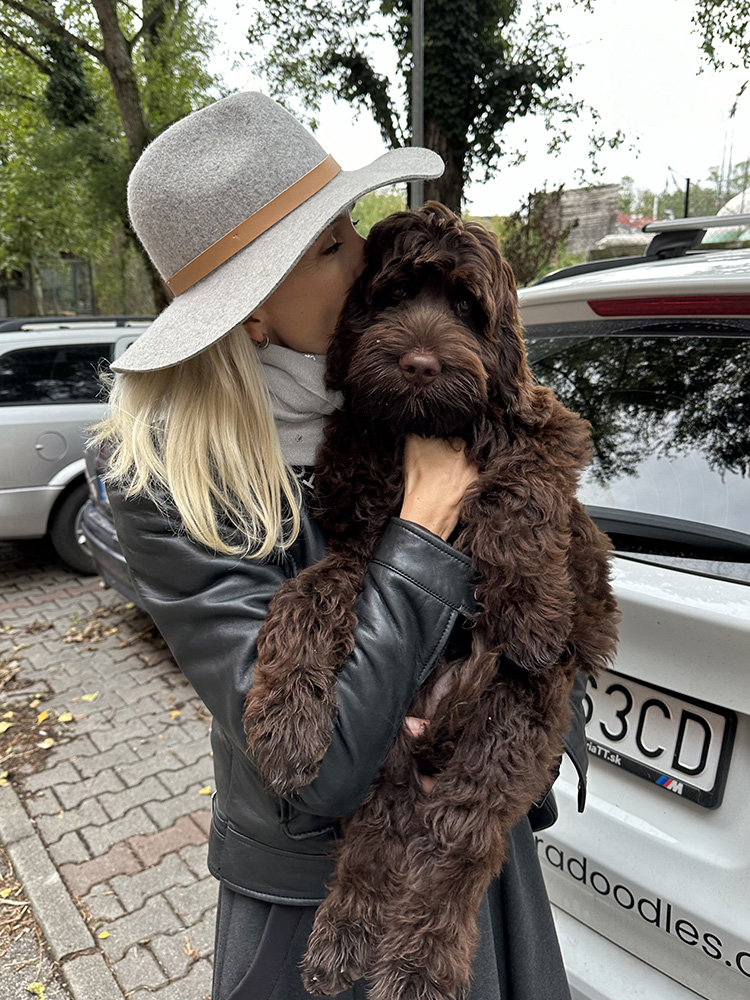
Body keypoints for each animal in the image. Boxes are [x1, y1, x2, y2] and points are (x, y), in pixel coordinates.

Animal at [244, 201, 620, 1000]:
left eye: (467, 309)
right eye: (391, 297)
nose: (419, 364)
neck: (421, 426)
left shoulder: (549, 431)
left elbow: (521, 483)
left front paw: (533, 610)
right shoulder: (361, 533)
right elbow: (307, 591)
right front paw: (285, 722)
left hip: (507, 725)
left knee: (456, 850)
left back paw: (416, 964)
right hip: (385, 749)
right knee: (379, 840)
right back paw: (342, 940)